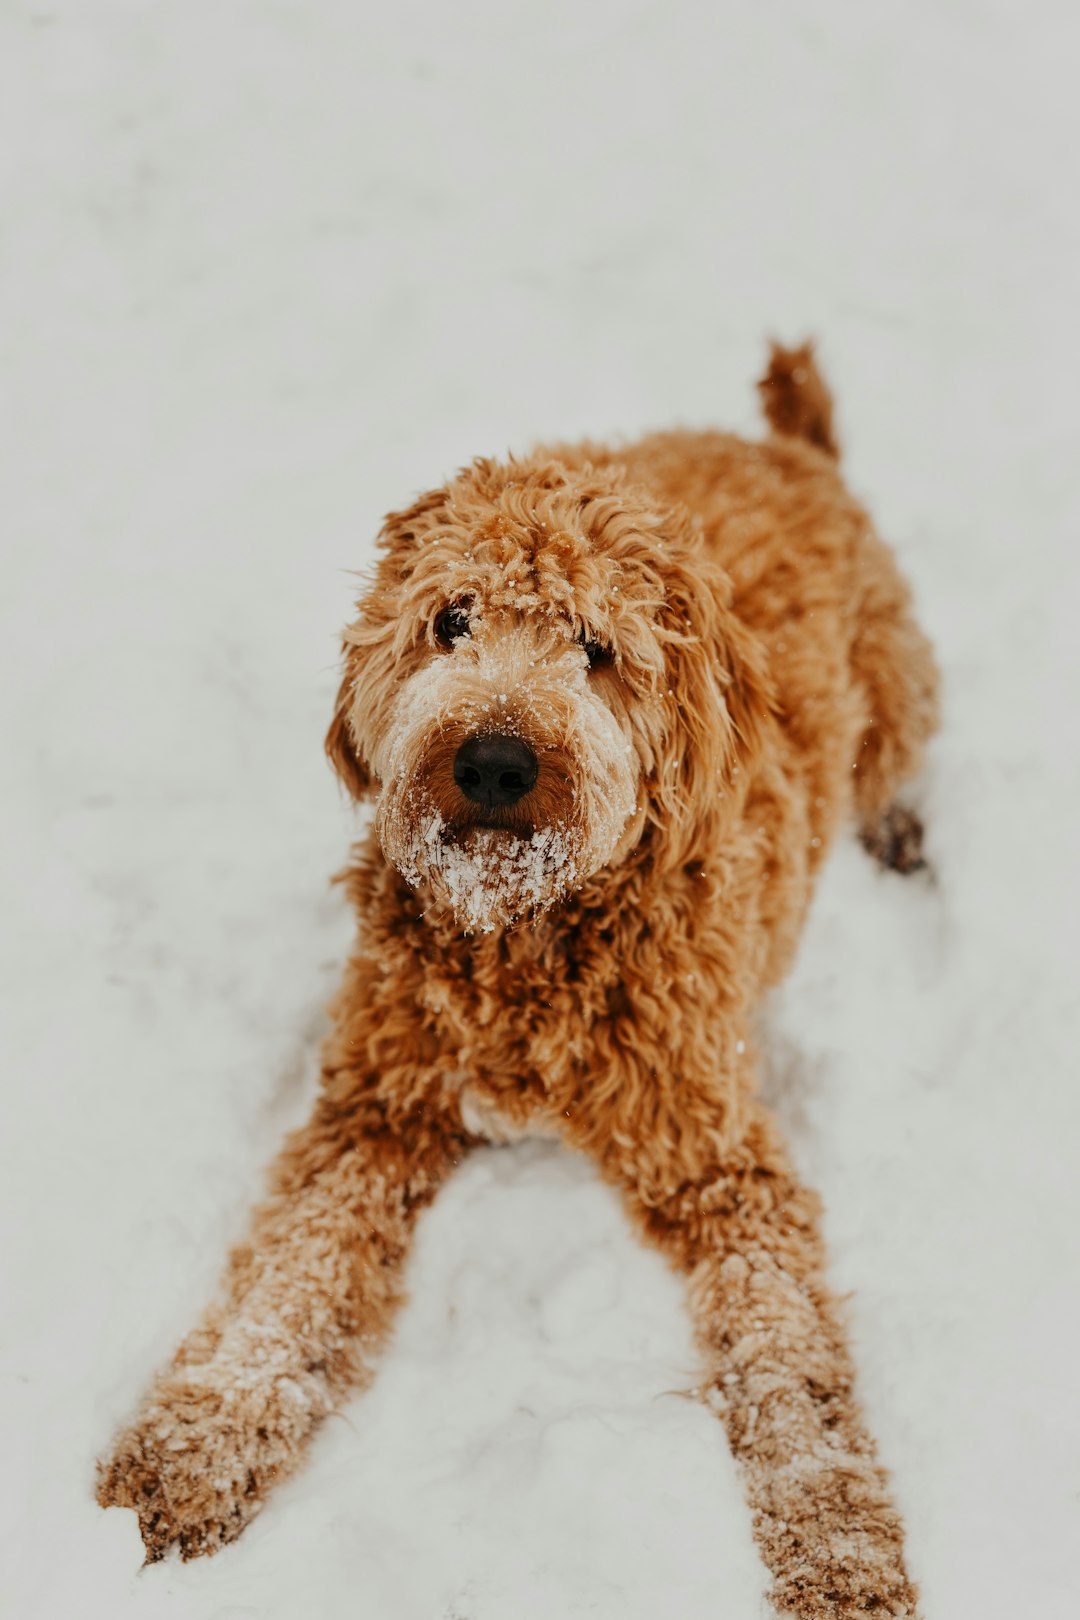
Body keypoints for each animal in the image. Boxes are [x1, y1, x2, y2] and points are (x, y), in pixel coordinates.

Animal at [99, 345, 939, 1620]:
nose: (494, 761)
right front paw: (197, 1446)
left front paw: (841, 1550)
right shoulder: (375, 1109)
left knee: (901, 756)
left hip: (896, 681)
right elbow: (292, 1275)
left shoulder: (720, 1162)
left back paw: (897, 832)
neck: (524, 942)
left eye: (596, 648)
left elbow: (791, 1363)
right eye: (451, 620)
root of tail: (785, 448)